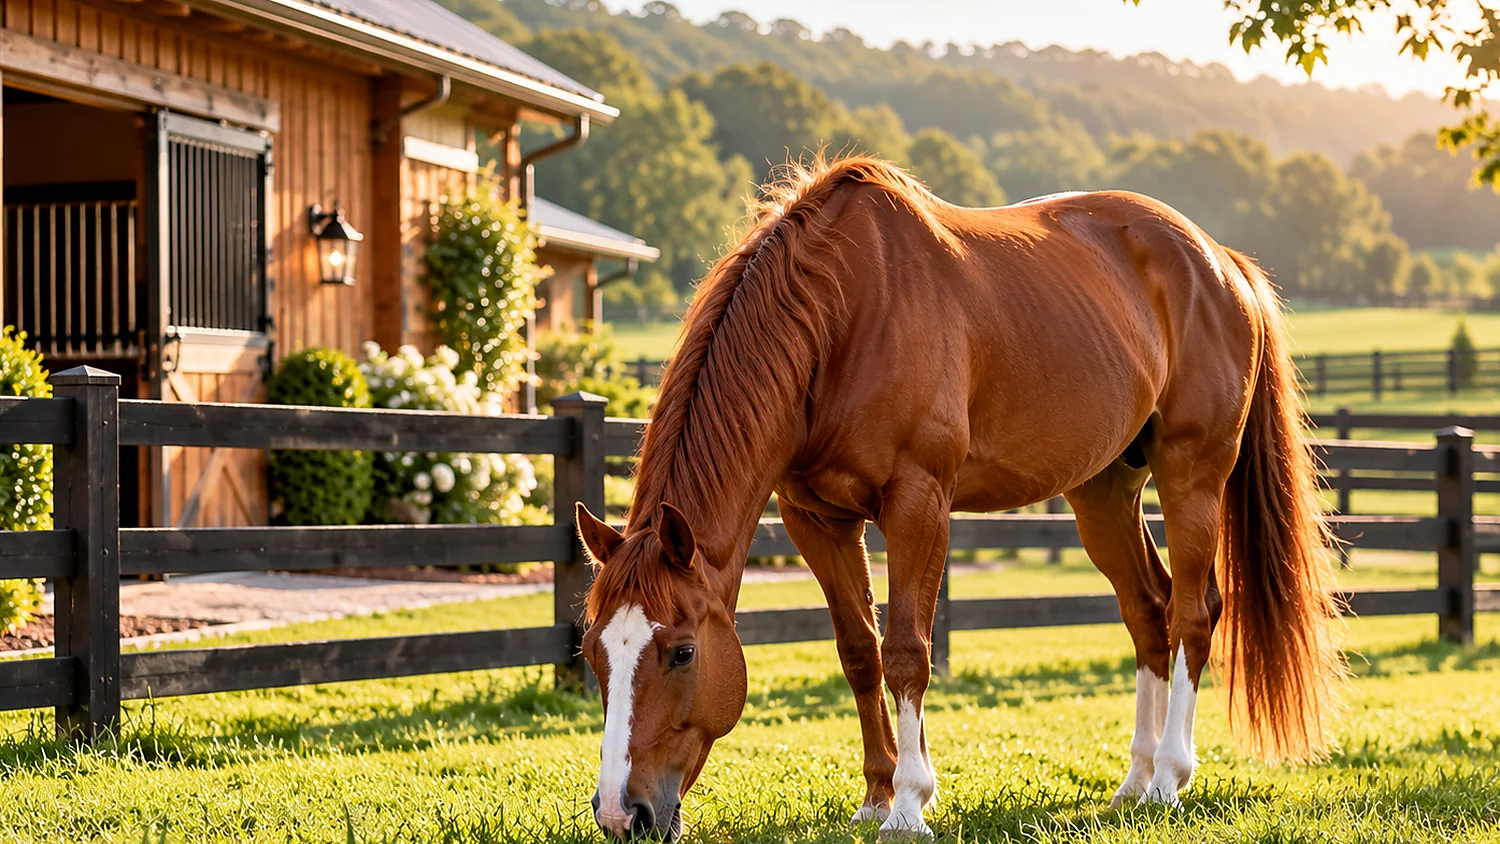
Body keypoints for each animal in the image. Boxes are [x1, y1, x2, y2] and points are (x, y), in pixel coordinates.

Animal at [574, 155, 1346, 841]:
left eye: (681, 653)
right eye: (592, 652)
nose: (622, 813)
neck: (844, 314)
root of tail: (1220, 261)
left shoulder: (917, 503)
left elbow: (907, 651)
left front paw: (911, 804)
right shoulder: (816, 518)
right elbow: (860, 651)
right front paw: (875, 797)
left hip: (1192, 476)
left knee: (1192, 612)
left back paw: (1169, 780)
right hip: (1103, 492)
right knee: (1148, 613)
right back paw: (1133, 779)